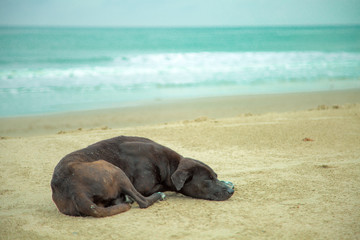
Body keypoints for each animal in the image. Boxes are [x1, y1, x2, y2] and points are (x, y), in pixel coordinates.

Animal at [51, 135, 236, 218]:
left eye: (215, 176)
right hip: (114, 170)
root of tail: (75, 190)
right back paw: (155, 197)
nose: (230, 192)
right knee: (143, 201)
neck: (169, 164)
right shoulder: (144, 185)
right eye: (208, 180)